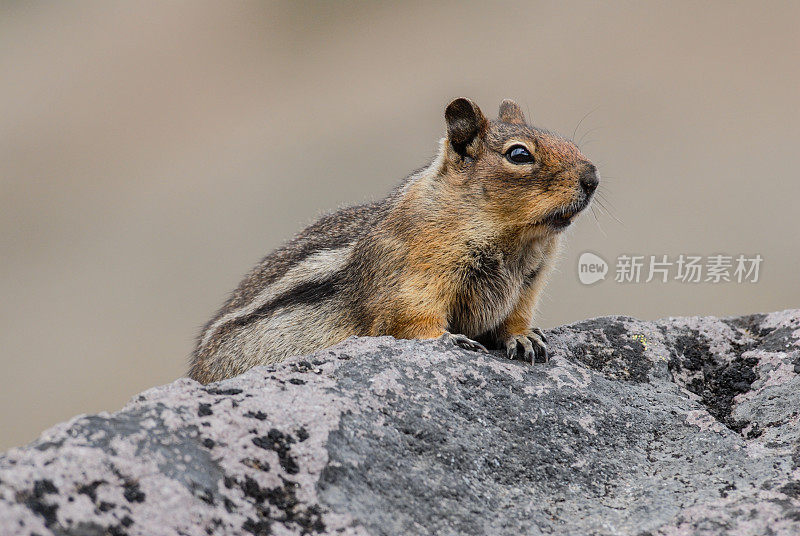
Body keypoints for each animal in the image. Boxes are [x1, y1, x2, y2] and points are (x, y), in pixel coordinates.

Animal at [189, 98, 600, 384]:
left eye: (566, 141)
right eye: (518, 154)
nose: (593, 177)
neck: (518, 241)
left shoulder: (527, 287)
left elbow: (514, 318)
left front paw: (525, 338)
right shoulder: (415, 277)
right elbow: (409, 319)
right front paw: (448, 340)